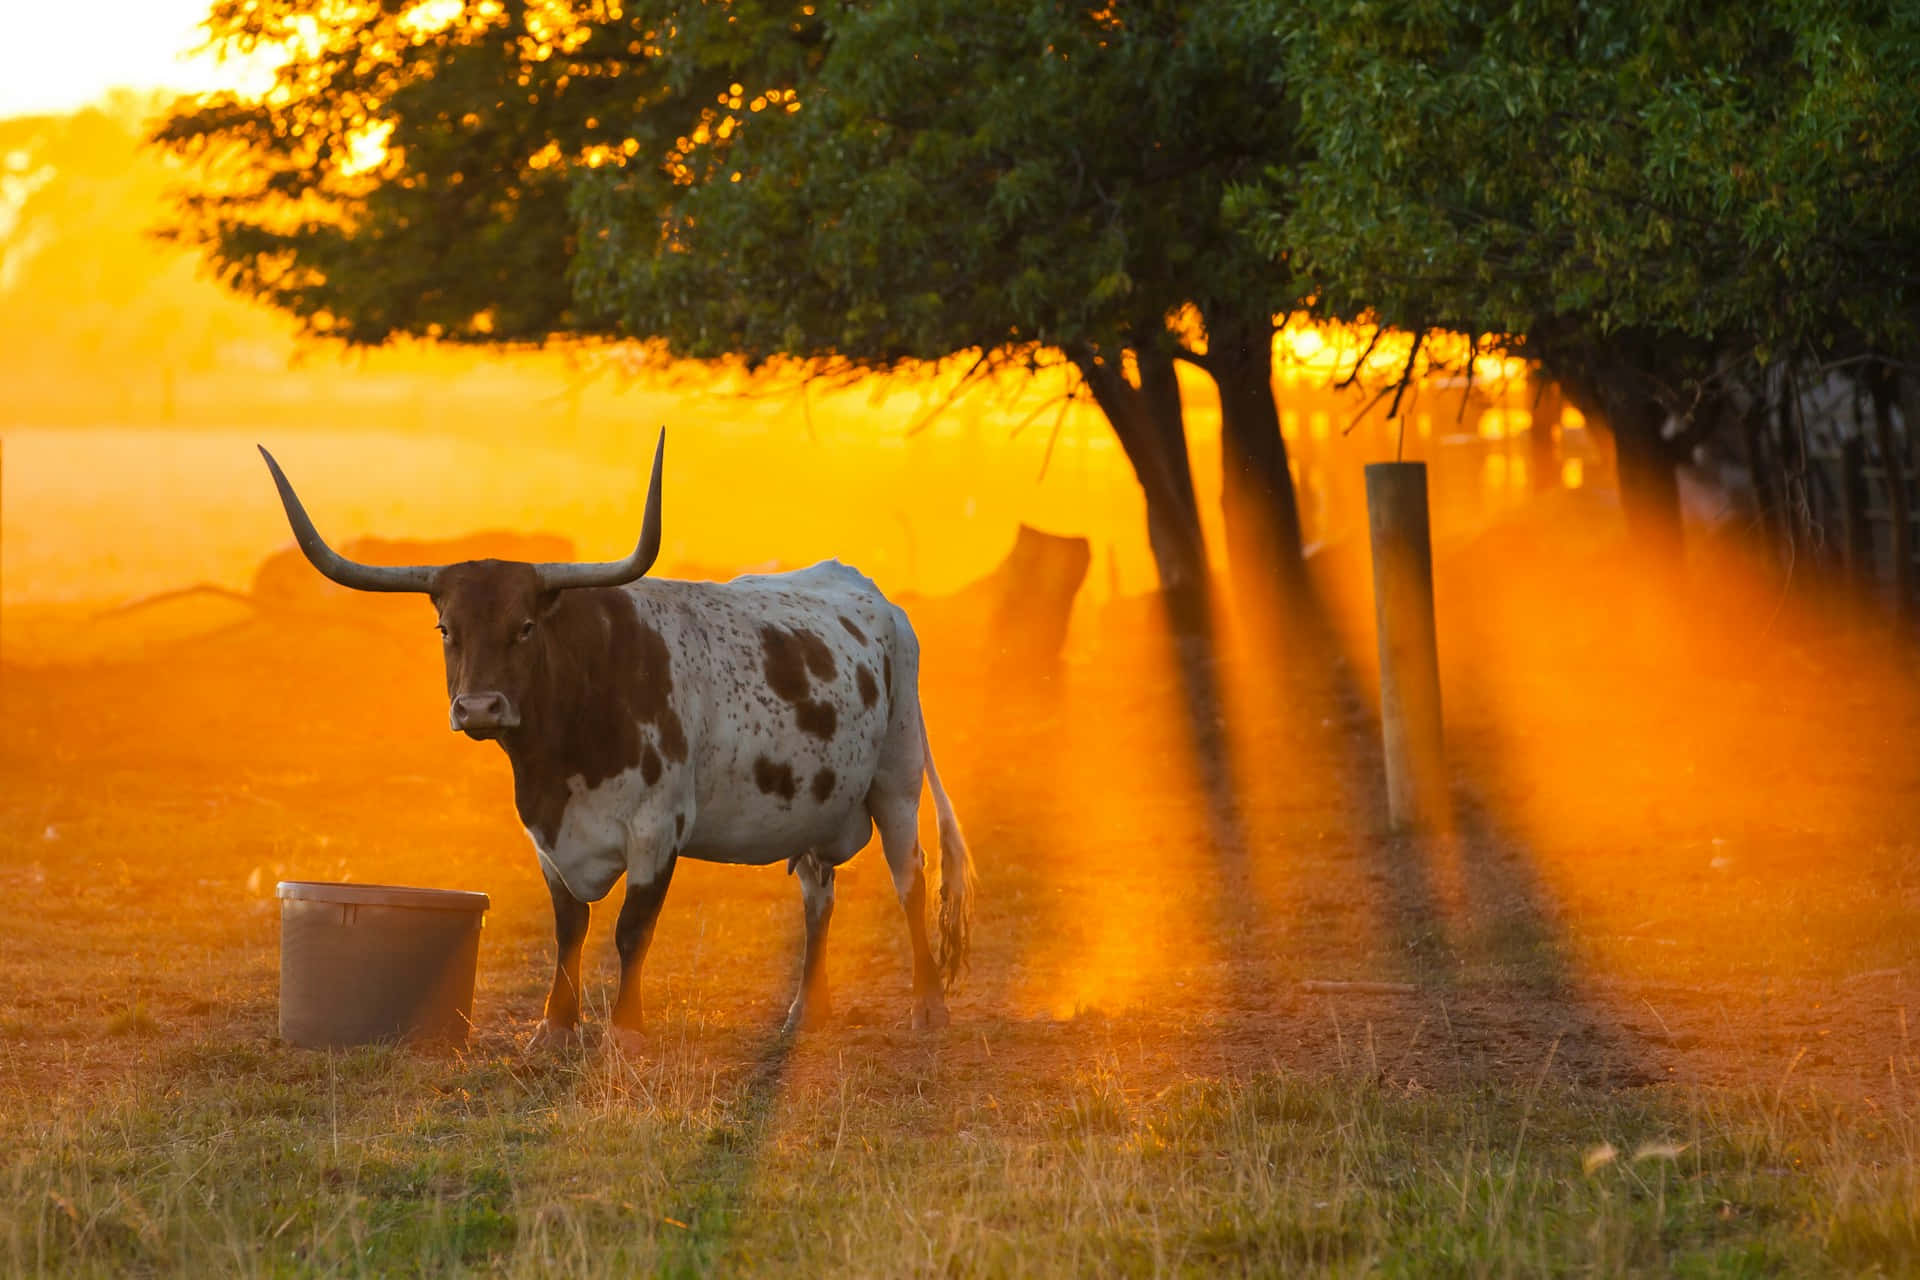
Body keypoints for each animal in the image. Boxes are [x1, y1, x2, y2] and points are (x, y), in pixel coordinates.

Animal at [257, 435, 975, 1043]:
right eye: (445, 629)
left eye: (524, 626)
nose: (480, 707)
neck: (561, 758)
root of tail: (873, 594)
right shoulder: (547, 837)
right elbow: (569, 928)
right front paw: (554, 1028)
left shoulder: (658, 829)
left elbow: (633, 931)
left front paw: (625, 1032)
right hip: (817, 804)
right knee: (819, 895)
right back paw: (807, 1009)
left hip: (897, 779)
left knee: (910, 879)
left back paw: (928, 1005)